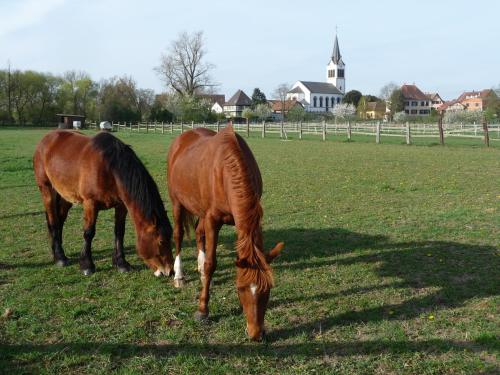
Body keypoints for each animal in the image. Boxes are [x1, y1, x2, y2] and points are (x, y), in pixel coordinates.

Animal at [33, 131, 174, 278]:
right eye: (161, 241)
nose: (169, 271)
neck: (110, 169)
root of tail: (46, 139)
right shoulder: (90, 204)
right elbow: (89, 233)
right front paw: (86, 265)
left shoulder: (121, 206)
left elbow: (119, 232)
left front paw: (121, 263)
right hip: (46, 189)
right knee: (53, 221)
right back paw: (60, 258)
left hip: (67, 196)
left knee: (60, 220)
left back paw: (57, 252)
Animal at [167, 125, 284, 340]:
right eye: (240, 289)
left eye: (268, 289)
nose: (256, 334)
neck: (225, 170)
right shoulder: (213, 219)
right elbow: (211, 264)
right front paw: (202, 311)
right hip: (177, 203)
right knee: (178, 234)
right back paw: (178, 275)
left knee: (199, 234)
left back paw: (199, 268)